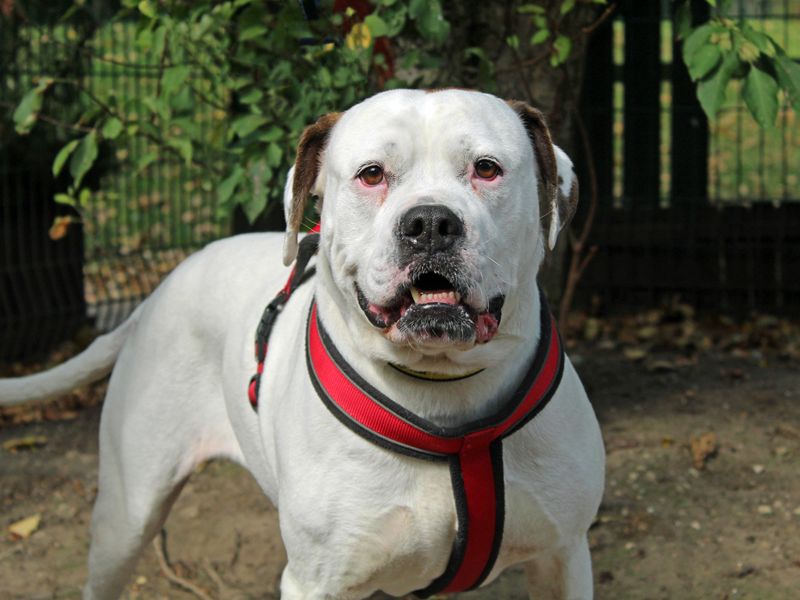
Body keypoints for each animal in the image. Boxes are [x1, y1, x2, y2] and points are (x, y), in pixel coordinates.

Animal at [0, 90, 600, 600]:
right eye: (372, 174)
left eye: (487, 168)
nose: (430, 222)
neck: (442, 389)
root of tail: (155, 293)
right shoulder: (317, 581)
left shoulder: (564, 557)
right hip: (125, 517)